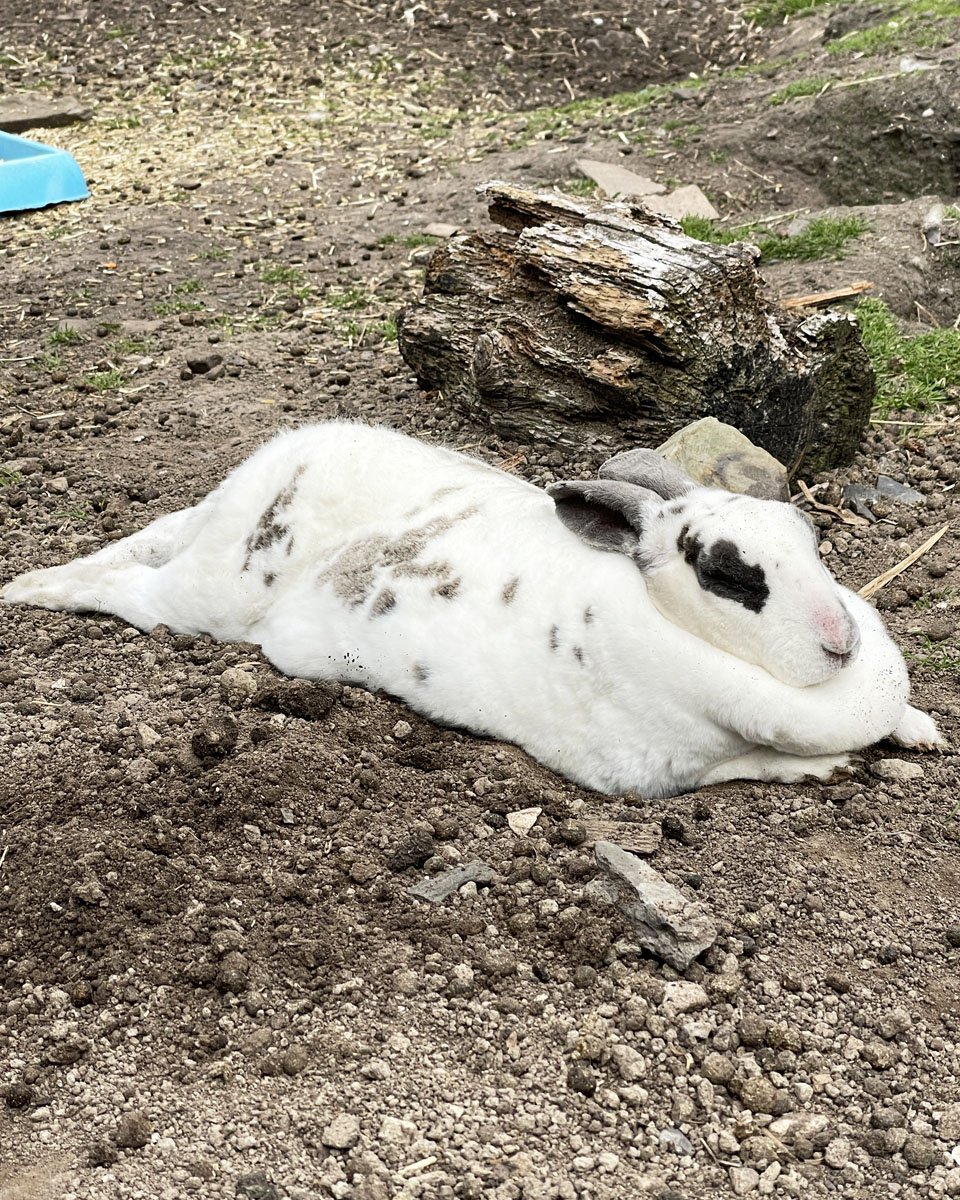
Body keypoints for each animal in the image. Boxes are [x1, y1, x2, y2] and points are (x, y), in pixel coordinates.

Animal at [2, 421, 944, 797]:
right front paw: (826, 767)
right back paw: (29, 589)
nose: (840, 641)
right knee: (127, 591)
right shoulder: (646, 773)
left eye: (808, 536)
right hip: (207, 596)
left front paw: (924, 731)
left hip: (202, 541)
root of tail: (270, 467)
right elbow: (751, 765)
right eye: (728, 575)